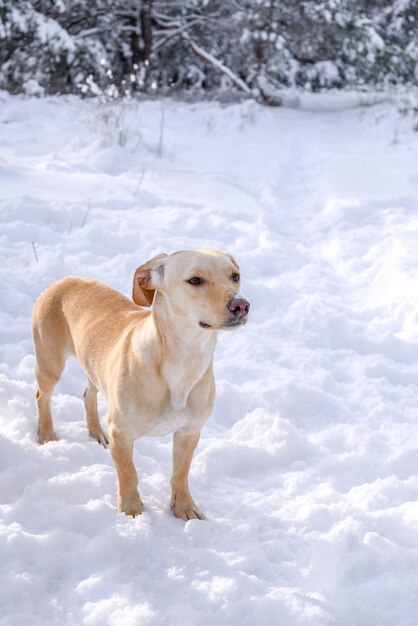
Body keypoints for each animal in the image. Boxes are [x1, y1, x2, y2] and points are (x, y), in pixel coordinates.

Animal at [32, 247, 250, 516]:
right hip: (50, 362)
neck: (184, 360)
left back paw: (95, 431)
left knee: (87, 393)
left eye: (235, 276)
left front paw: (183, 508)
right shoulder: (121, 433)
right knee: (42, 396)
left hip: (94, 365)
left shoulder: (189, 433)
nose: (241, 304)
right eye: (195, 280)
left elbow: (181, 474)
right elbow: (129, 475)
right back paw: (47, 434)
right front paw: (131, 511)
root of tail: (64, 280)